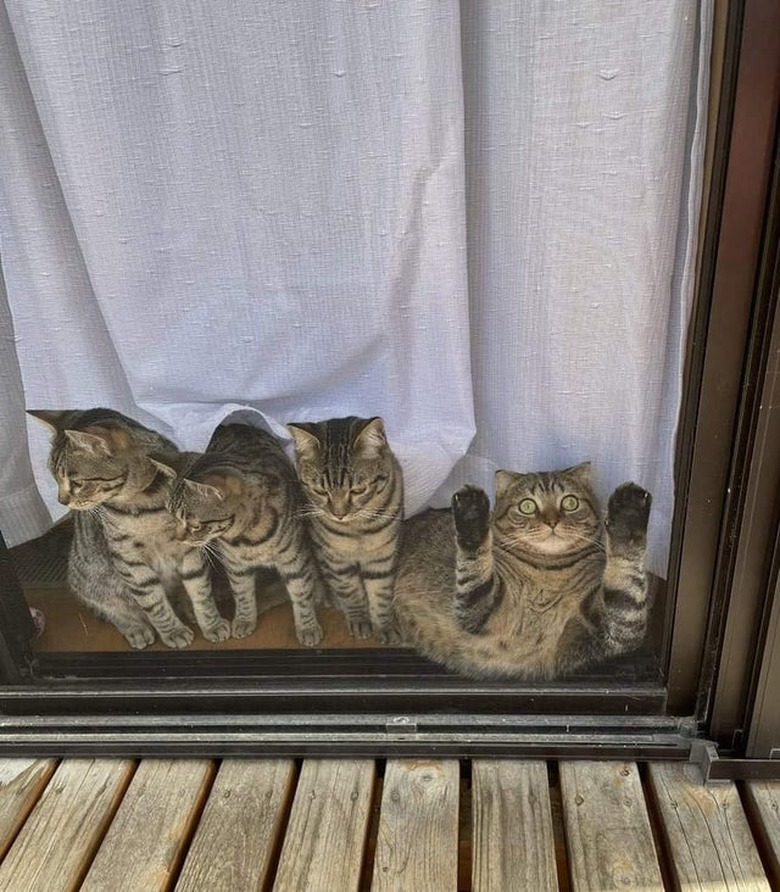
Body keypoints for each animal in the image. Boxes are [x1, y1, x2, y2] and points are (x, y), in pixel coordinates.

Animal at [28, 410, 229, 648]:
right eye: (55, 477)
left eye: (77, 483)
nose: (61, 501)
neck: (143, 506)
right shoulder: (128, 558)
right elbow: (153, 603)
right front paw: (173, 631)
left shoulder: (190, 550)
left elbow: (201, 592)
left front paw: (212, 624)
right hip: (94, 578)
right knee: (113, 609)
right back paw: (136, 628)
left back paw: (186, 608)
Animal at [160, 422, 324, 644]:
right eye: (172, 516)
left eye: (194, 525)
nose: (178, 539)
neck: (247, 538)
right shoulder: (235, 565)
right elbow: (242, 593)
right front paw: (245, 619)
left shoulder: (295, 560)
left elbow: (301, 594)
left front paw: (307, 626)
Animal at [290, 414, 406, 644]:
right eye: (320, 491)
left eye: (357, 490)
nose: (339, 514)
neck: (357, 530)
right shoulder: (337, 559)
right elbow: (349, 590)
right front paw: (359, 619)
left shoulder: (382, 557)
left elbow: (381, 593)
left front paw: (385, 626)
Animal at [390, 464, 652, 680]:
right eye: (527, 506)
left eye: (570, 502)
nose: (551, 521)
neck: (548, 572)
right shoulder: (474, 610)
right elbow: (475, 562)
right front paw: (472, 516)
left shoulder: (621, 629)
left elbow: (626, 574)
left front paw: (629, 515)